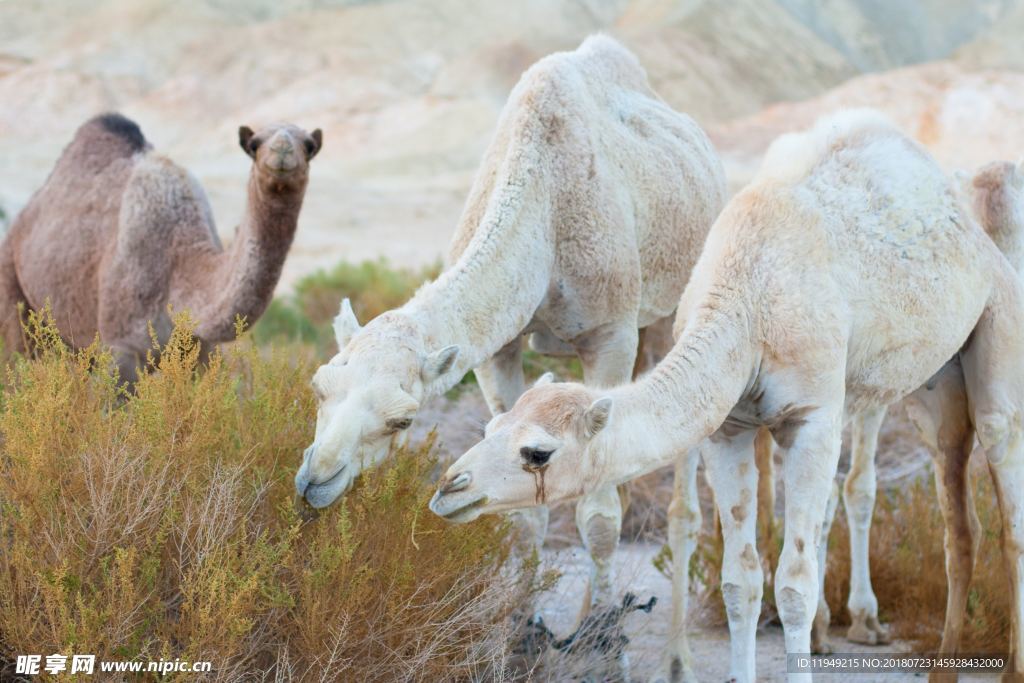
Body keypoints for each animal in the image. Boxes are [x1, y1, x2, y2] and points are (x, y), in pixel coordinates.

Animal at [0, 112, 319, 378]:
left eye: (308, 145)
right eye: (254, 144)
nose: (282, 150)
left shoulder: (202, 352)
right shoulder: (121, 349)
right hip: (13, 284)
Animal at [294, 31, 729, 643]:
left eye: (403, 419)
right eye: (318, 386)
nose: (315, 480)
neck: (545, 211)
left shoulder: (610, 335)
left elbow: (598, 515)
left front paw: (602, 639)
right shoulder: (497, 352)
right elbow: (526, 512)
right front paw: (525, 629)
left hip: (669, 312)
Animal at [425, 112, 1024, 683]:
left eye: (538, 452)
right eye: (489, 428)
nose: (450, 488)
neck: (748, 302)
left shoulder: (812, 418)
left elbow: (795, 584)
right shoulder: (729, 427)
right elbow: (741, 580)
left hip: (998, 323)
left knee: (1004, 479)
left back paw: (1005, 668)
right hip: (933, 386)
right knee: (959, 520)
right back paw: (942, 669)